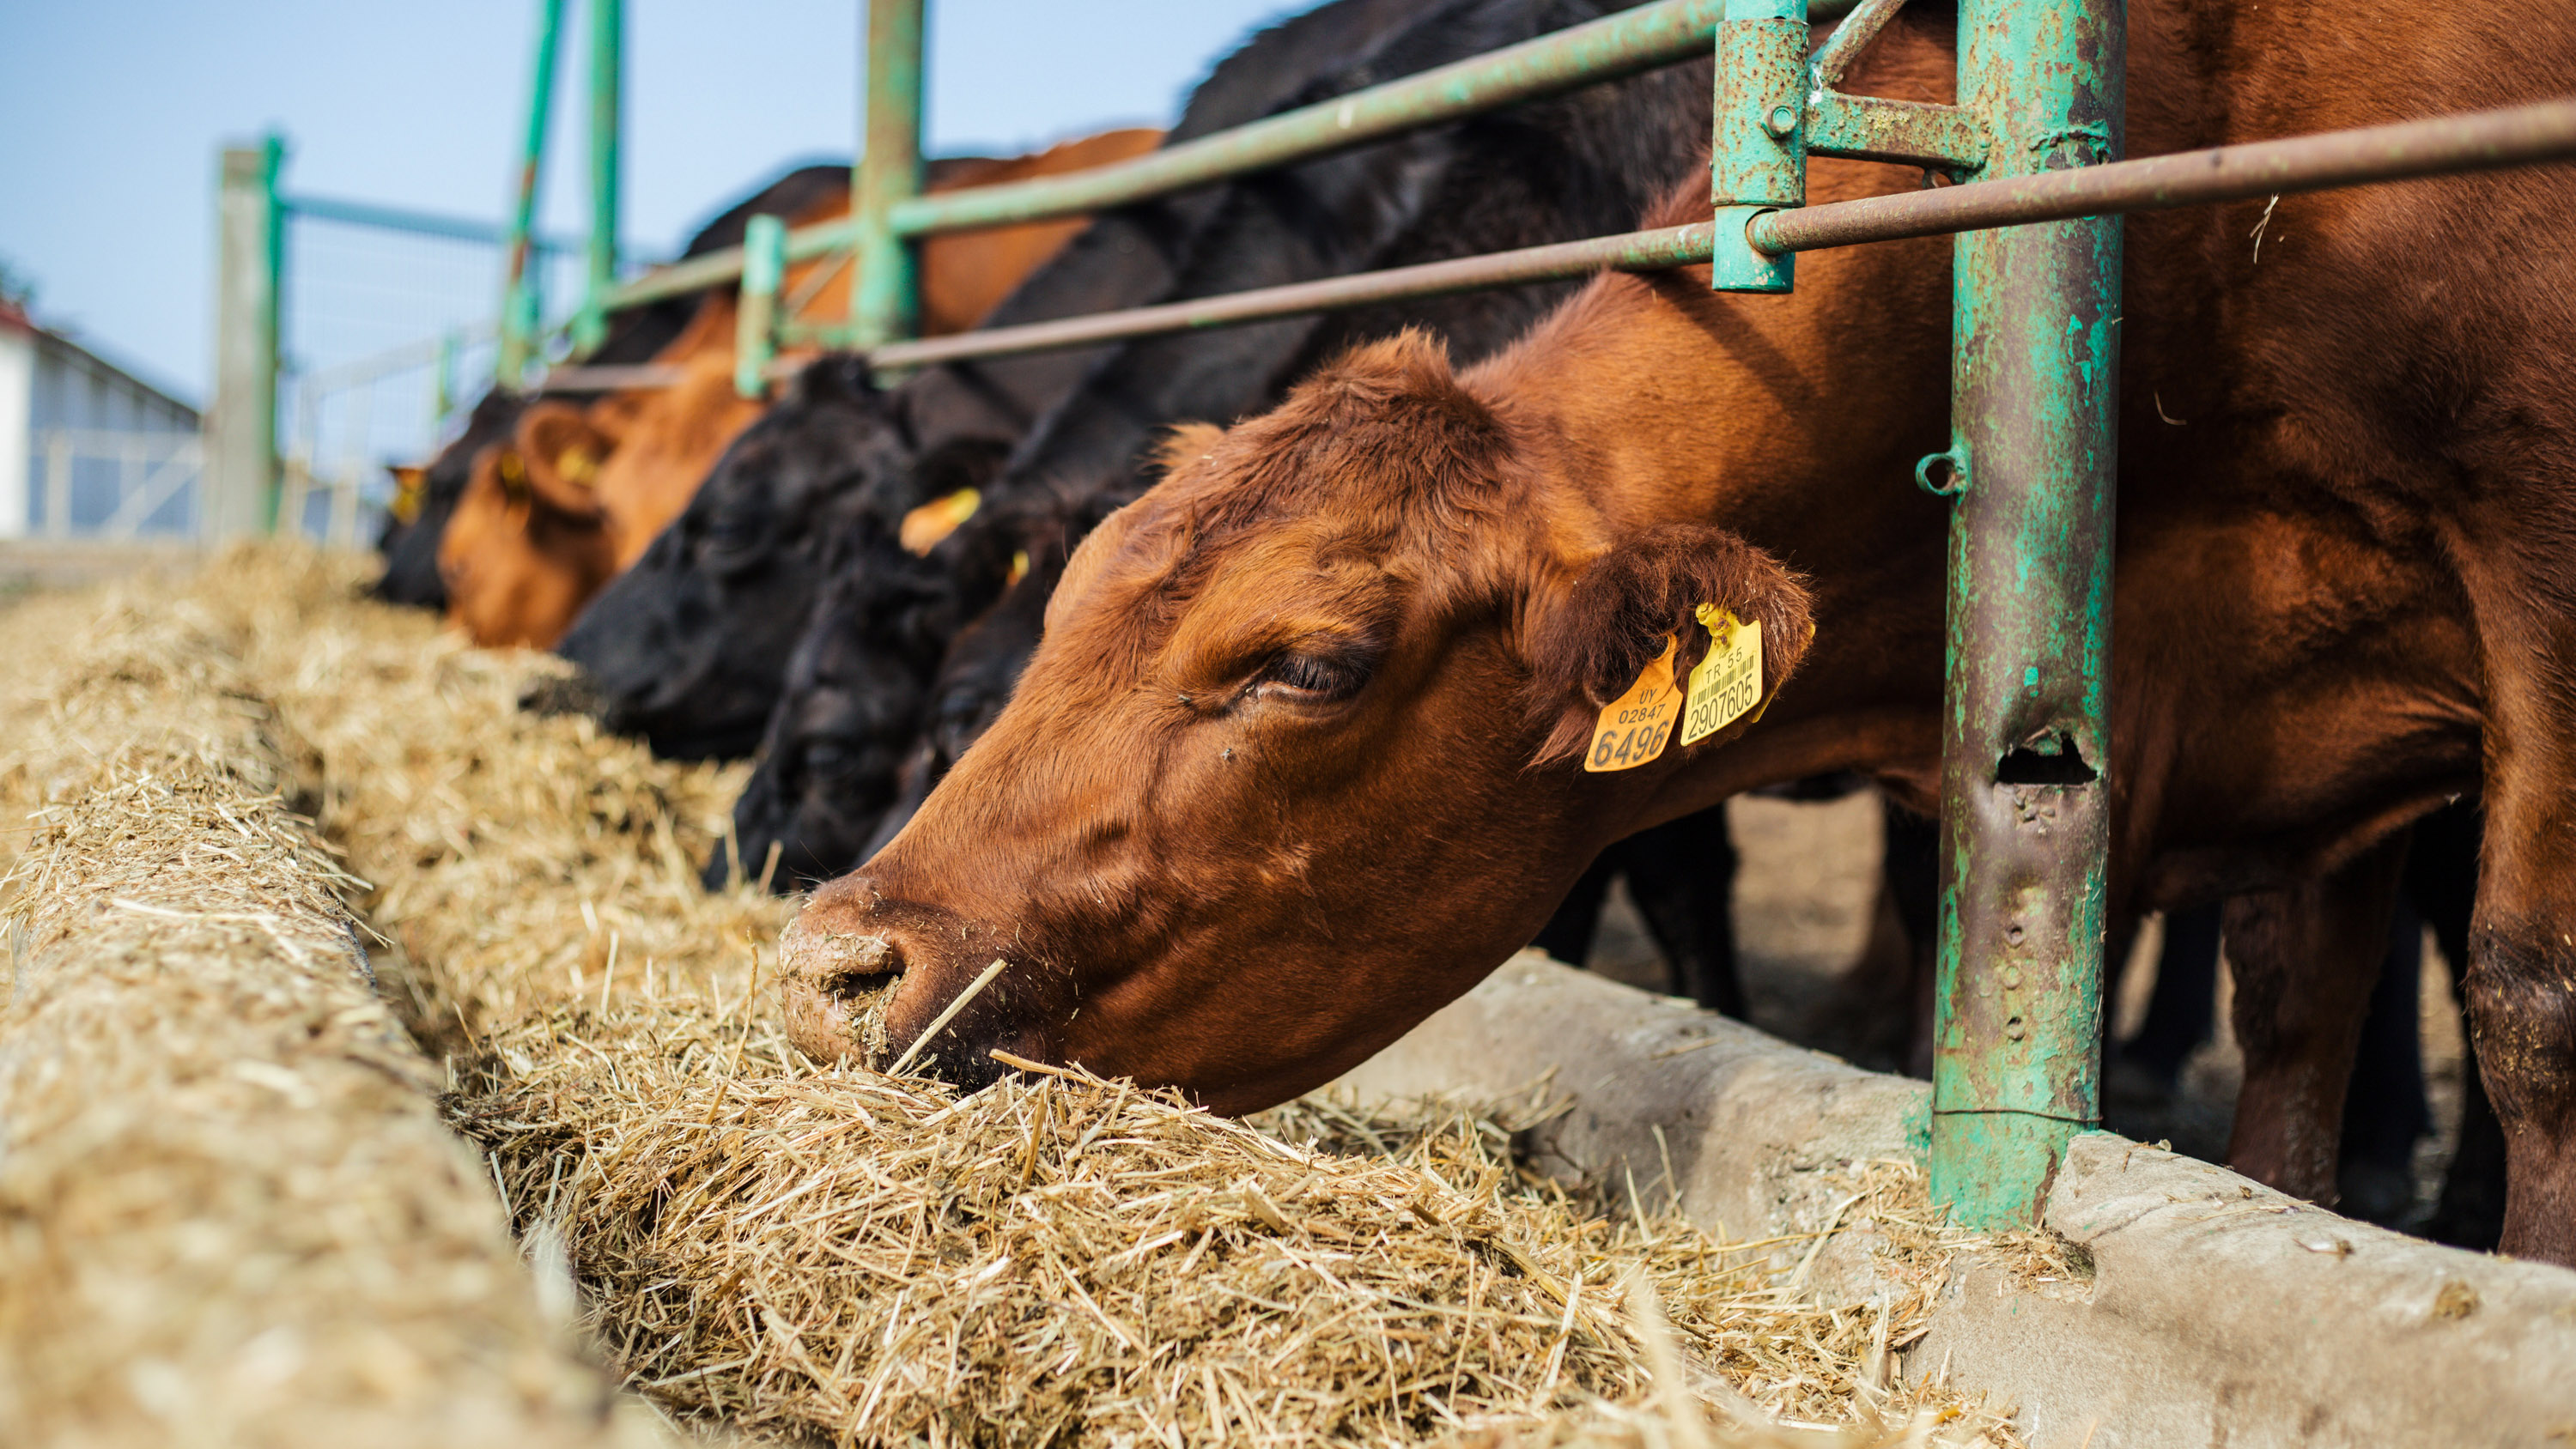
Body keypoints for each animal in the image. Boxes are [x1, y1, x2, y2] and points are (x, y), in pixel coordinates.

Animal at [773, 5, 2576, 1266]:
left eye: (1310, 664)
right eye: (1063, 610)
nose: (829, 961)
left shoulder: (2529, 547)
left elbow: (2527, 1000)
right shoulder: (2309, 728)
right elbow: (2295, 1024)